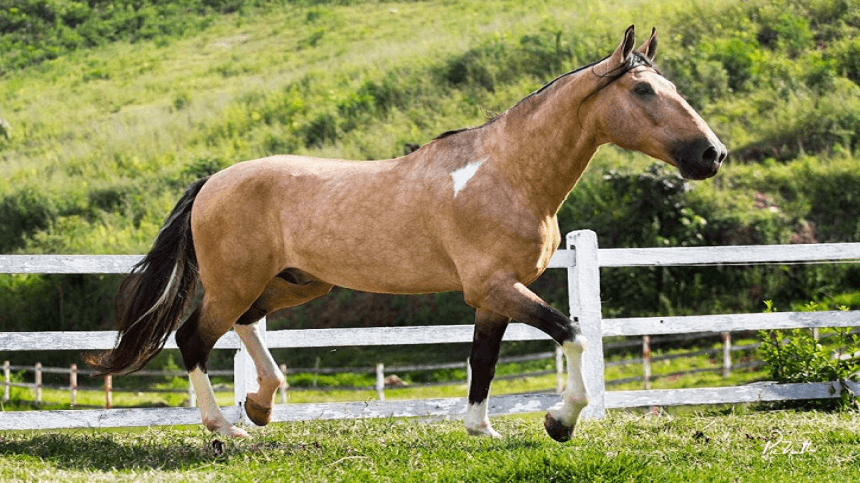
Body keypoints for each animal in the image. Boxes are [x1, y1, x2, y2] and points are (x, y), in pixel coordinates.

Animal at [84, 25, 724, 442]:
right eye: (643, 91)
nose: (711, 155)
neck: (507, 172)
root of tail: (212, 181)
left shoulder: (493, 296)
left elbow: (483, 361)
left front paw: (481, 429)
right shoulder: (496, 287)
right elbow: (573, 334)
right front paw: (559, 422)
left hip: (297, 282)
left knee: (244, 325)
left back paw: (261, 405)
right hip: (233, 282)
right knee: (192, 339)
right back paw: (224, 429)